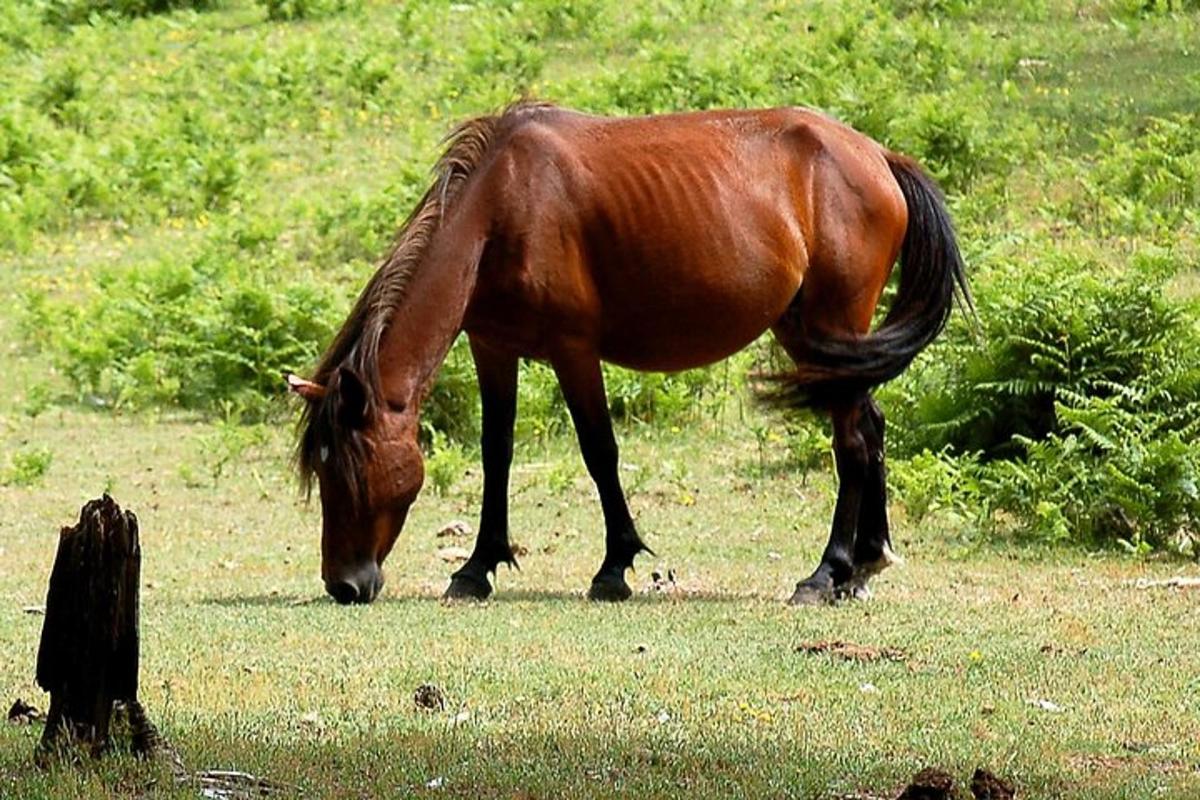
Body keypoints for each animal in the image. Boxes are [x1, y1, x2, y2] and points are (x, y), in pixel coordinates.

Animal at [285, 98, 969, 606]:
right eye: (321, 471)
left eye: (348, 471)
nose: (344, 585)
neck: (501, 208)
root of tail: (879, 156)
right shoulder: (492, 345)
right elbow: (496, 452)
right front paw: (477, 568)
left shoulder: (573, 349)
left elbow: (600, 452)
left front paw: (613, 568)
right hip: (817, 338)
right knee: (871, 429)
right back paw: (865, 565)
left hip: (835, 327)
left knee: (851, 441)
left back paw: (826, 574)